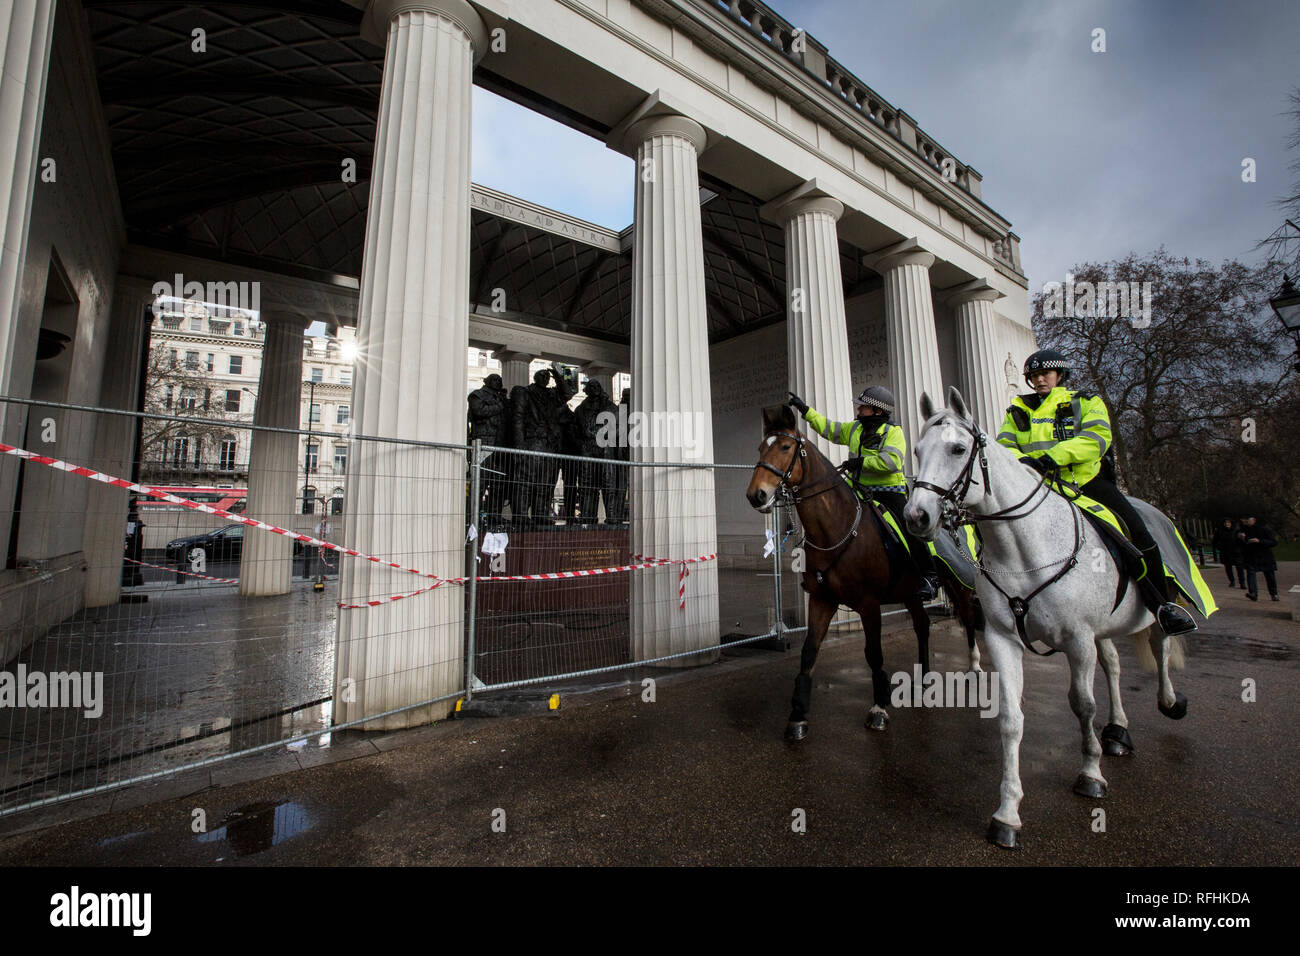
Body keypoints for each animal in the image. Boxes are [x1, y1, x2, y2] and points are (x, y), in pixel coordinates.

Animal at [748, 403, 977, 738]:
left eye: (786, 447)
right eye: (761, 447)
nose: (757, 495)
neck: (838, 527)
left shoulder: (869, 605)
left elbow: (874, 653)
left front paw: (879, 707)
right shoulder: (822, 600)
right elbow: (809, 651)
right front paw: (798, 714)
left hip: (960, 581)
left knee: (969, 617)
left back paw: (975, 668)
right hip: (910, 592)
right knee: (922, 625)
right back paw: (923, 681)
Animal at [904, 385, 1190, 848]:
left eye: (958, 448)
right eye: (916, 450)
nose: (917, 516)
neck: (1023, 548)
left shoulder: (1077, 638)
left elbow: (1083, 705)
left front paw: (1090, 773)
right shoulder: (1004, 637)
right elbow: (1010, 720)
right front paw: (1007, 812)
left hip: (1154, 604)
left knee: (1161, 644)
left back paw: (1168, 702)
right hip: (1103, 628)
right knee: (1114, 665)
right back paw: (1119, 730)